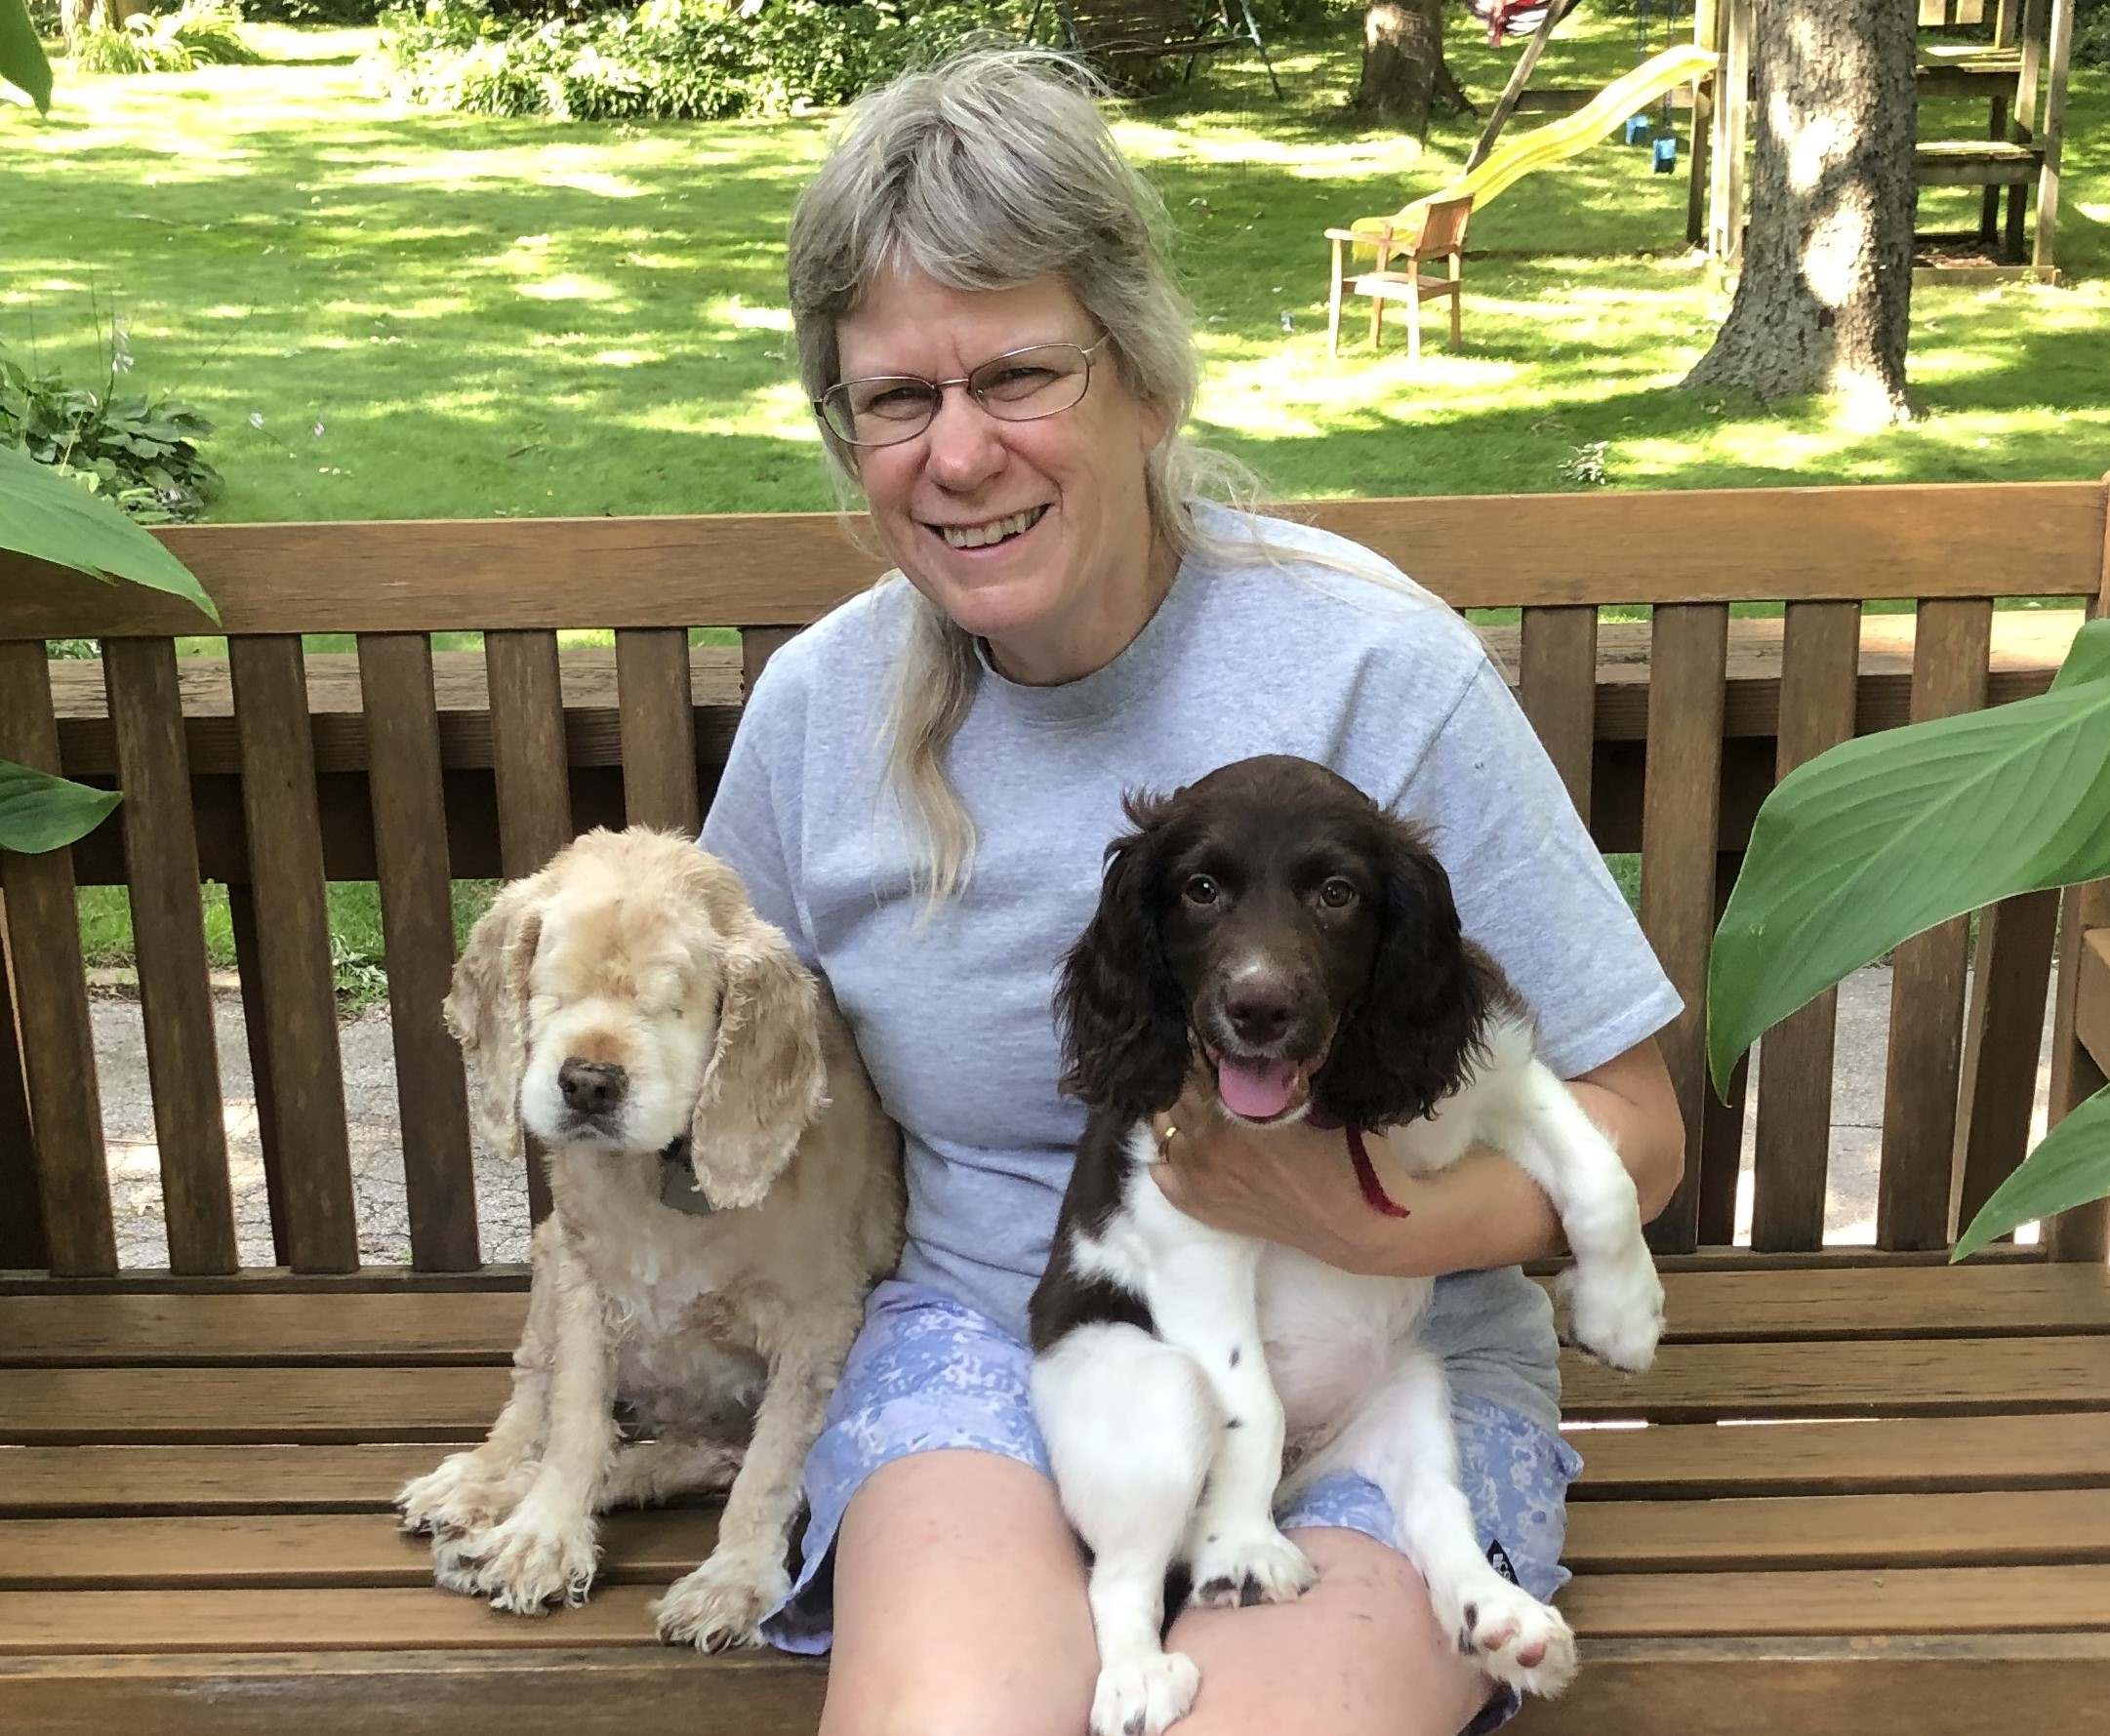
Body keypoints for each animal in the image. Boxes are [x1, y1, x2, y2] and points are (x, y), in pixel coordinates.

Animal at [1025, 754, 1662, 1736]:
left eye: (1337, 892)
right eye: (1200, 889)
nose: (1258, 1007)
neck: (1325, 1104)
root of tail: (1304, 1475)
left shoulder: (1489, 1073)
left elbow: (1601, 1175)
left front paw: (1623, 1316)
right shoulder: (1192, 1235)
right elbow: (1251, 1402)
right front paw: (1244, 1550)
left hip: (1413, 1396)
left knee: (1438, 1510)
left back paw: (1501, 1618)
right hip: (1147, 1388)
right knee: (1121, 1574)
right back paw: (1140, 1672)